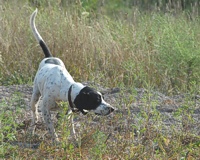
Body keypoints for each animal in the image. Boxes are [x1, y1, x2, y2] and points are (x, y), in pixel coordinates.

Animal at [29, 8, 114, 142]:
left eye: (103, 98)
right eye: (96, 100)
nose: (112, 109)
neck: (64, 87)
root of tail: (49, 58)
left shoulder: (68, 112)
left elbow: (71, 127)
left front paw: (74, 139)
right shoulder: (45, 110)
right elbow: (51, 128)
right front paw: (56, 141)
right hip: (35, 97)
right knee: (34, 114)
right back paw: (32, 128)